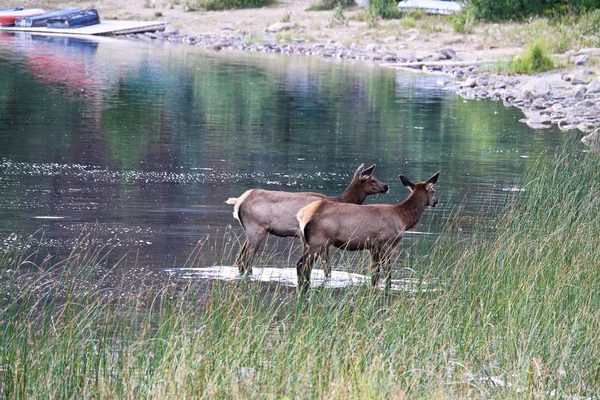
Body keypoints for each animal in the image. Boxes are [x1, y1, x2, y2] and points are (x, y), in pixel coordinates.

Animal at [226, 164, 390, 274]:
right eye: (372, 179)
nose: (386, 186)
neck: (338, 200)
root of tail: (238, 201)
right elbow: (326, 266)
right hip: (256, 229)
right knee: (246, 259)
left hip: (250, 231)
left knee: (240, 257)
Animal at [296, 170, 440, 292]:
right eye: (433, 191)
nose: (436, 201)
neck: (403, 219)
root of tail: (301, 215)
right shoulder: (386, 243)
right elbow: (388, 273)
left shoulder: (373, 247)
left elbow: (374, 274)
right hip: (318, 242)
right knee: (302, 265)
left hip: (306, 242)